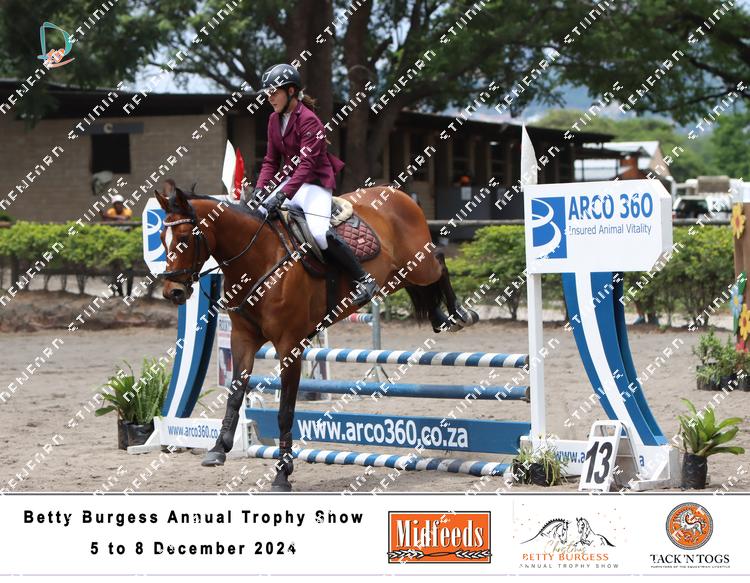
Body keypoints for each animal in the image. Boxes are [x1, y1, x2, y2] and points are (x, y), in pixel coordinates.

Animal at [154, 186, 476, 491]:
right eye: (160, 238)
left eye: (183, 238)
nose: (173, 292)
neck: (258, 259)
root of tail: (398, 194)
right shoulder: (242, 339)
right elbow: (234, 395)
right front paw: (218, 449)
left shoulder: (290, 346)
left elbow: (285, 412)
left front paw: (282, 474)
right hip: (399, 275)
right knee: (421, 286)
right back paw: (439, 317)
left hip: (419, 263)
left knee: (440, 262)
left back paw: (460, 314)